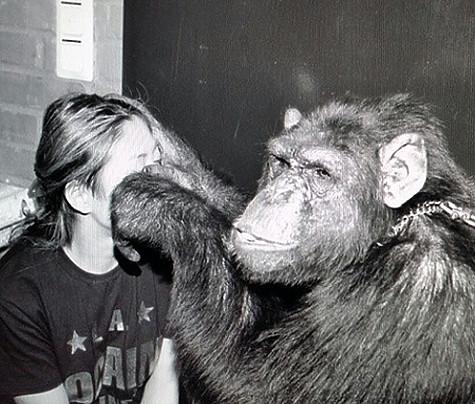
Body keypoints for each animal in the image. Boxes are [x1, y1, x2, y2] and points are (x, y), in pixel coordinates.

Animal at [111, 94, 475, 403]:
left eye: (321, 173)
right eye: (281, 163)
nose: (276, 196)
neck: (394, 223)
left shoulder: (405, 294)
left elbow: (255, 385)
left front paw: (158, 204)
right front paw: (181, 168)